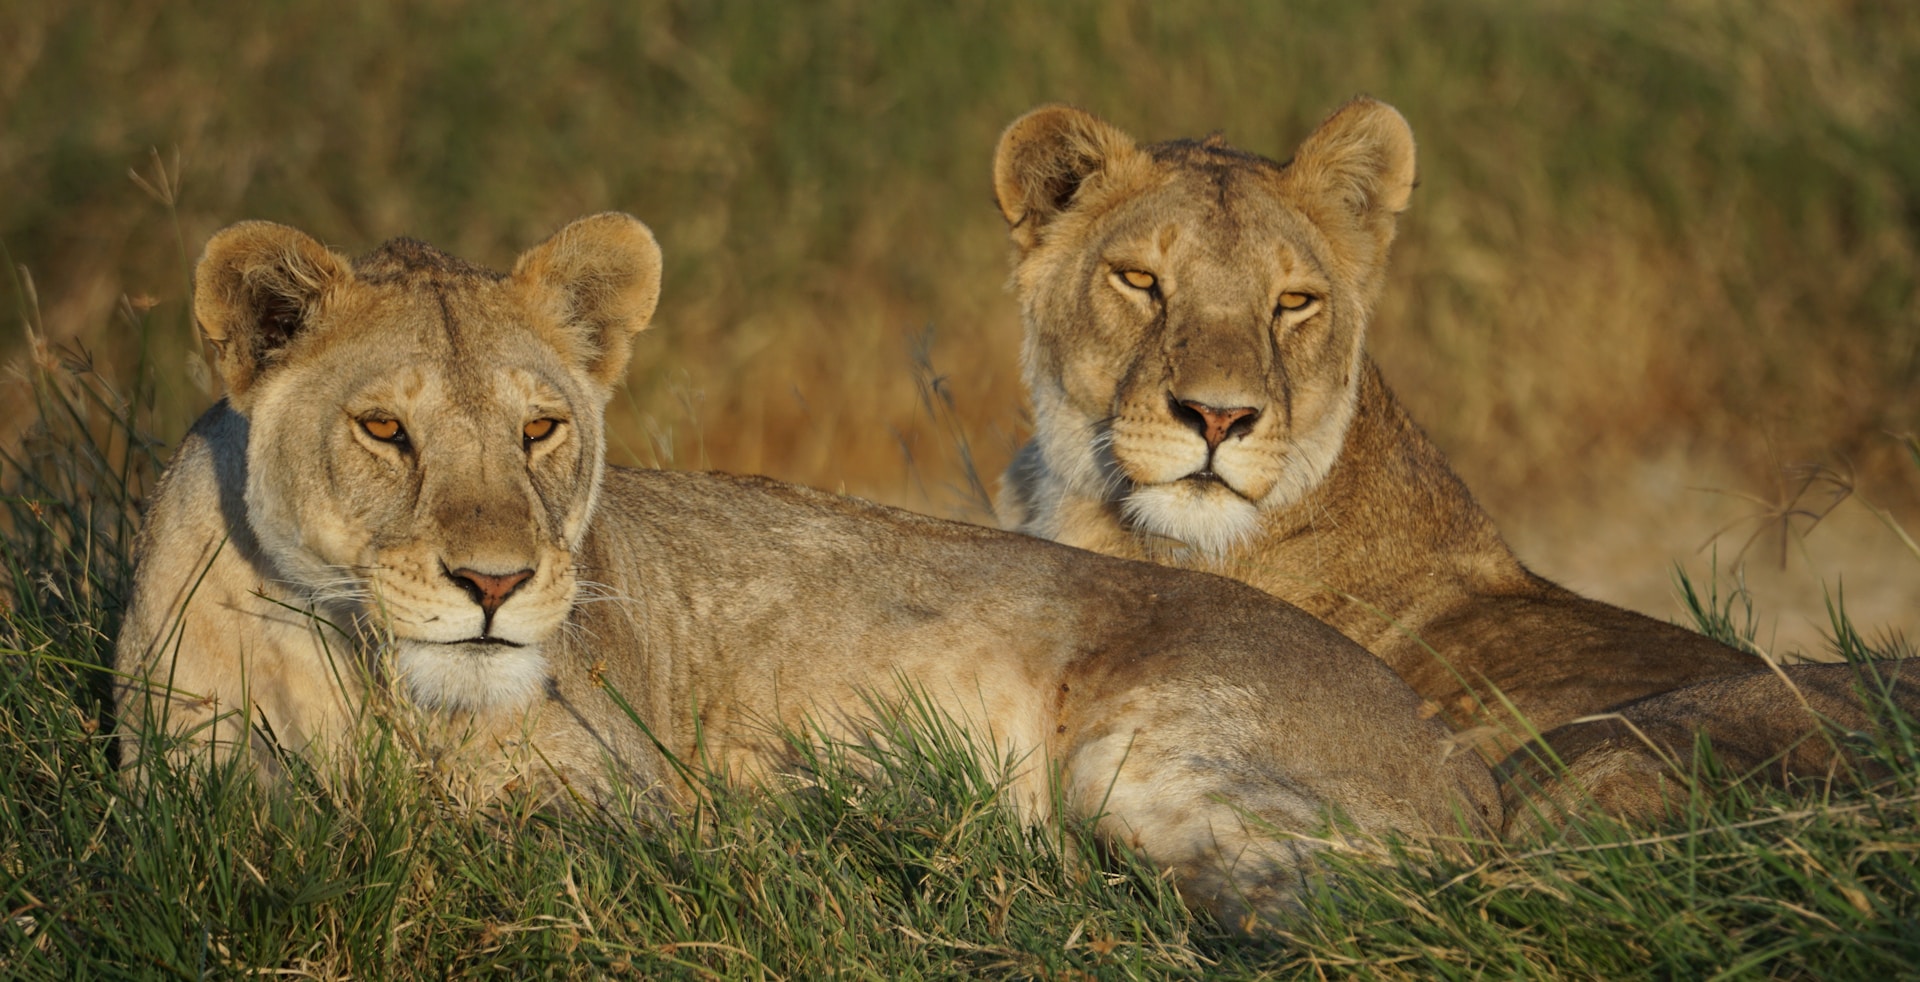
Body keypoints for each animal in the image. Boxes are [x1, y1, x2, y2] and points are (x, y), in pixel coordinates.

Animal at [112, 213, 1496, 930]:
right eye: (383, 429)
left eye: (541, 429)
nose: (496, 584)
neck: (368, 683)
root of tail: (1474, 779)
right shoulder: (189, 781)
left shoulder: (623, 797)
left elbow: (518, 839)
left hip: (1142, 758)